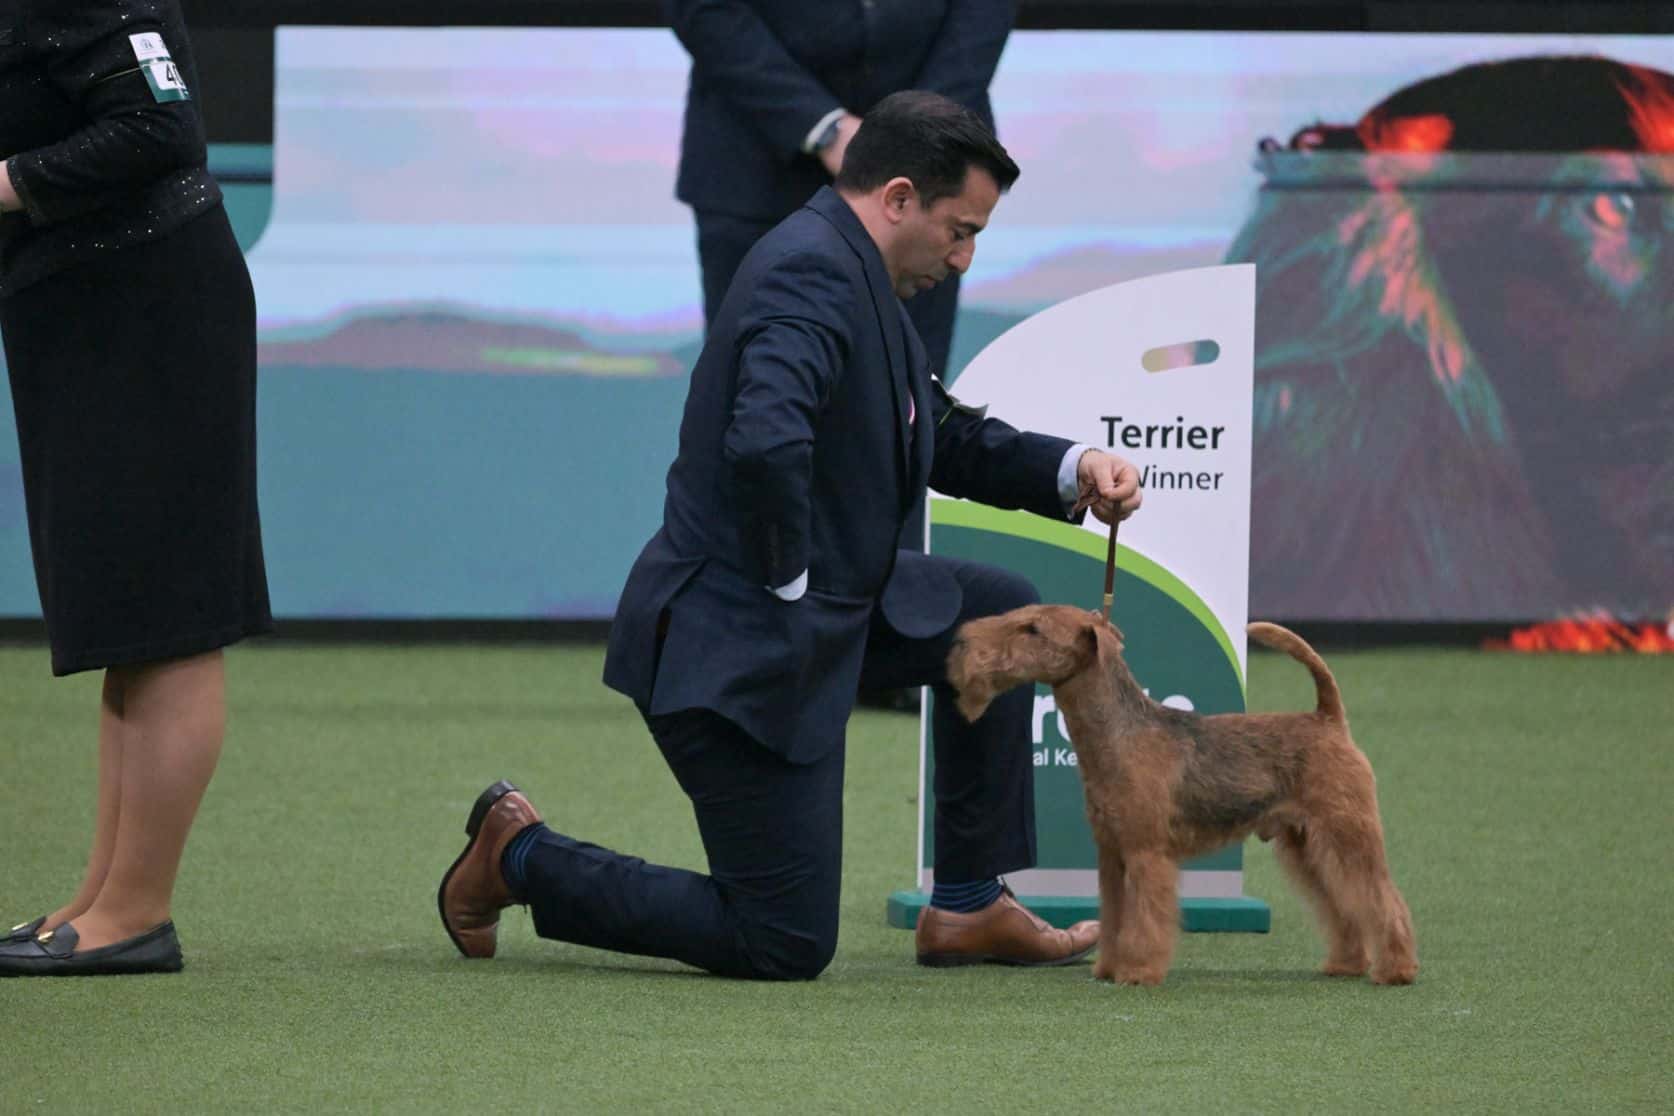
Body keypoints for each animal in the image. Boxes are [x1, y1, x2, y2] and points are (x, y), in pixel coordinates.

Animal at [946, 604, 1417, 987]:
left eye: (1034, 629)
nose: (962, 641)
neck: (1116, 735)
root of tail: (1328, 719)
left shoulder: (1146, 853)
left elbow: (1146, 918)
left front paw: (1138, 972)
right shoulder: (1112, 854)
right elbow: (1115, 917)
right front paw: (1108, 968)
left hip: (1346, 832)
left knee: (1382, 899)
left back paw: (1396, 969)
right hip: (1306, 844)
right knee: (1344, 905)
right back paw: (1347, 964)